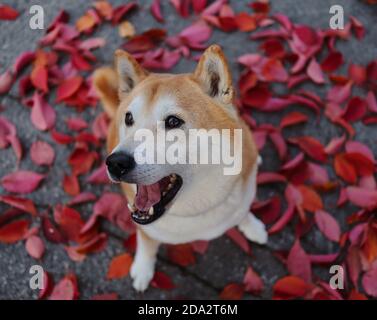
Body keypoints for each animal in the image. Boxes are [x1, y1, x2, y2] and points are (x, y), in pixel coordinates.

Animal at [92, 45, 266, 292]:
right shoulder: (145, 227)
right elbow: (146, 243)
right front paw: (143, 268)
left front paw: (252, 226)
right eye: (129, 118)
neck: (196, 208)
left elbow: (243, 212)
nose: (116, 162)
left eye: (173, 122)